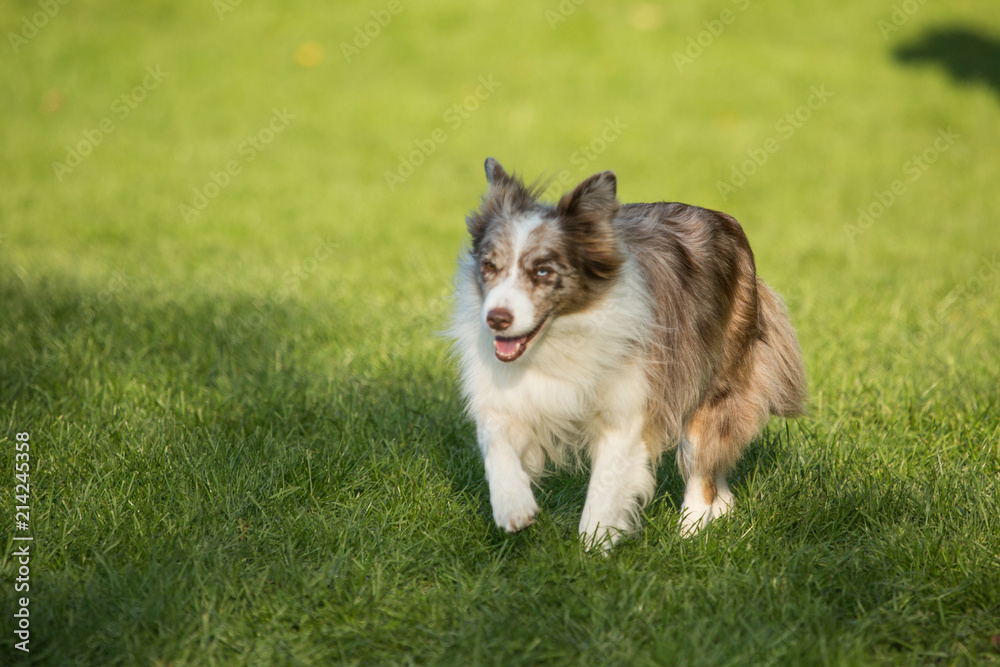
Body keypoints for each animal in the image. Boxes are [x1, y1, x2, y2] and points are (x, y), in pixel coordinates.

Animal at [450, 159, 808, 552]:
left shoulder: (626, 405)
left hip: (715, 375)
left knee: (702, 458)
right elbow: (495, 438)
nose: (496, 319)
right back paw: (721, 510)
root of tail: (722, 218)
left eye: (543, 271)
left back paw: (690, 532)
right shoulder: (507, 389)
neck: (561, 334)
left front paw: (591, 551)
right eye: (489, 266)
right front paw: (513, 508)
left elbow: (604, 489)